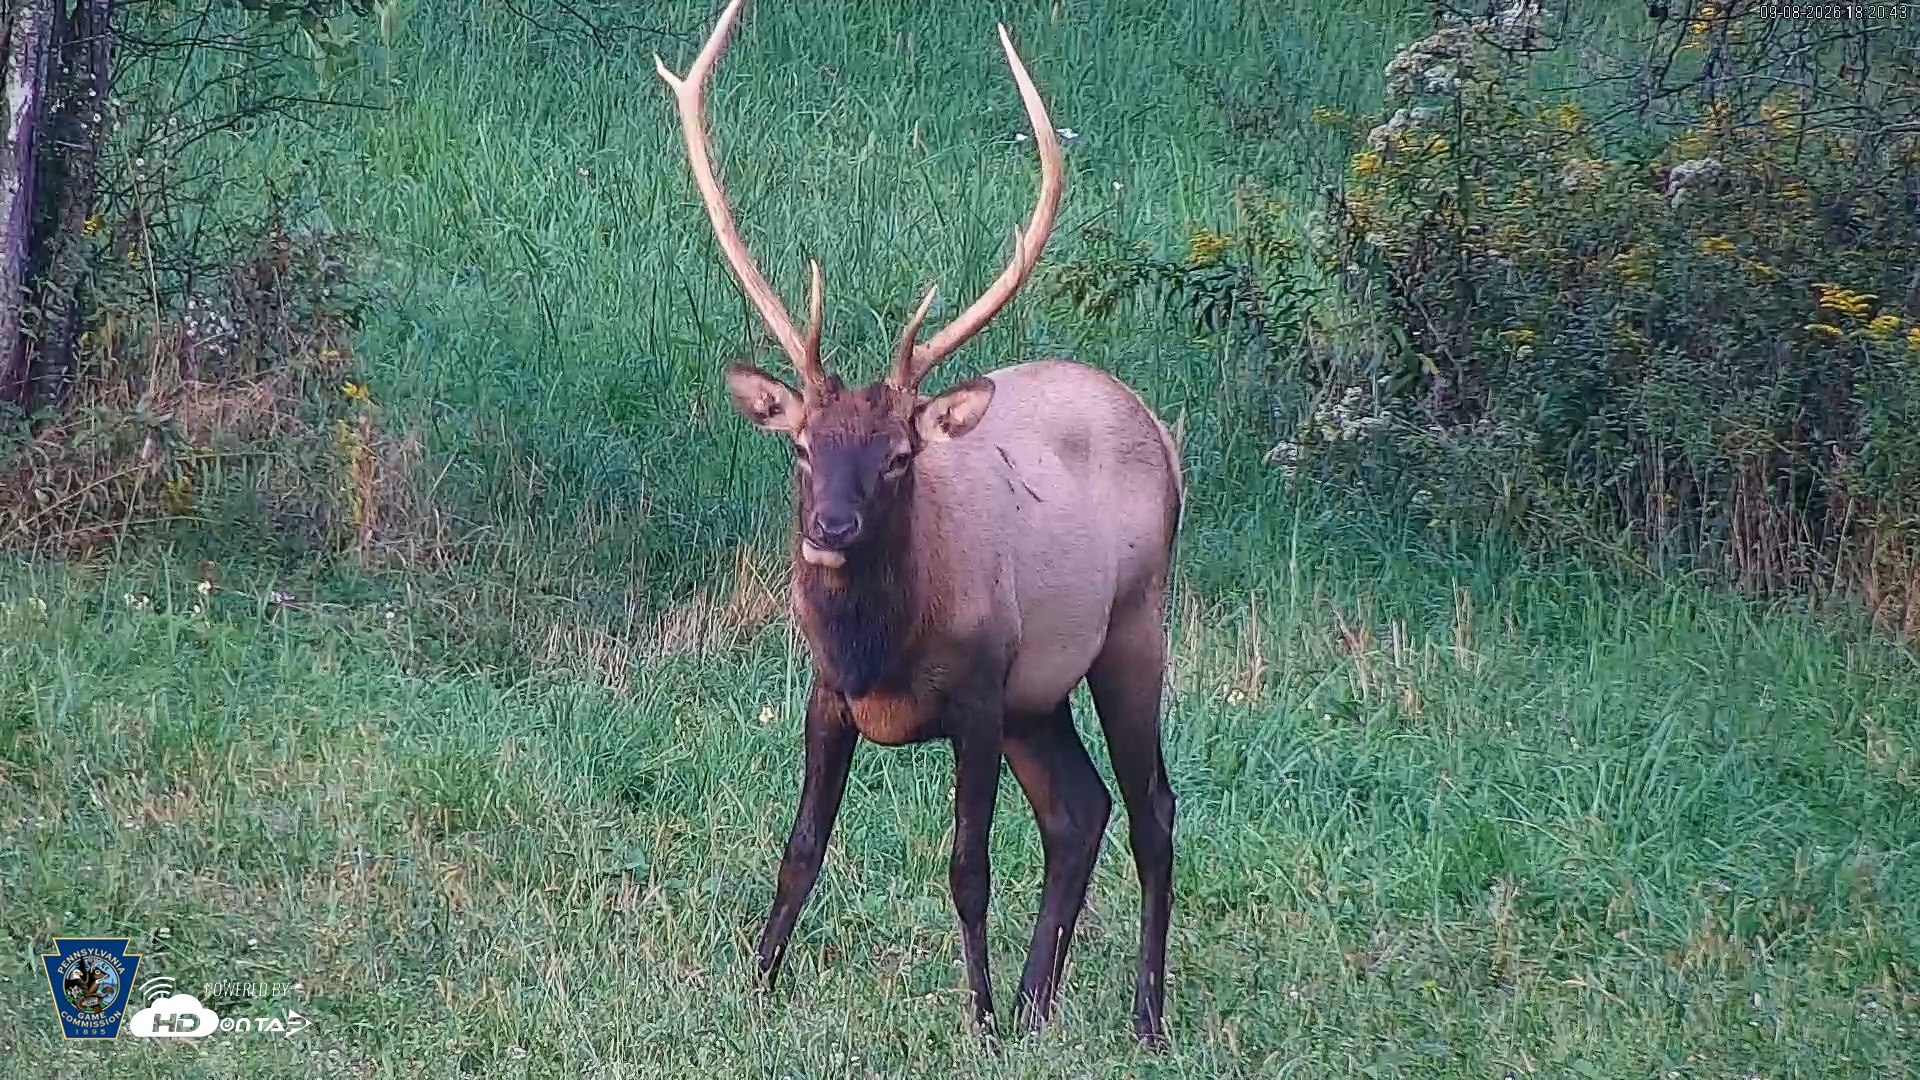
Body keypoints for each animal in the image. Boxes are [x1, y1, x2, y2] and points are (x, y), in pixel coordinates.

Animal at [655, 0, 1182, 1046]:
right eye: (803, 445)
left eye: (900, 455)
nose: (830, 525)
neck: (882, 647)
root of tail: (1159, 429)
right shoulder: (828, 694)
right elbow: (801, 849)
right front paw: (756, 989)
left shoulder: (980, 689)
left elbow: (967, 870)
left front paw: (975, 1018)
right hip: (1040, 695)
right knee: (1081, 810)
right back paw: (1037, 1004)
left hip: (1130, 627)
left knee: (1151, 806)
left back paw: (1141, 1015)